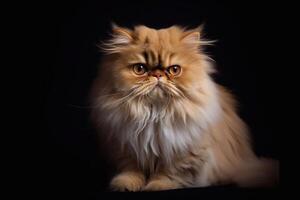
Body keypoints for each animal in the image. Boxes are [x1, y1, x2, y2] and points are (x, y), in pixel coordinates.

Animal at [89, 24, 278, 190]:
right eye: (140, 68)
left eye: (174, 70)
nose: (157, 75)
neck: (154, 114)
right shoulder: (125, 146)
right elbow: (131, 170)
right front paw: (125, 184)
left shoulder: (184, 150)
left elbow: (170, 172)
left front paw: (157, 185)